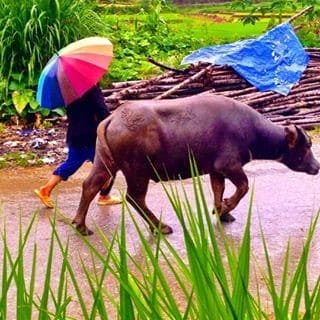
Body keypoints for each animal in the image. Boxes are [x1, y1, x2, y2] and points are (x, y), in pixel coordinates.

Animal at [72, 92, 320, 235]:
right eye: (306, 146)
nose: (316, 167)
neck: (250, 130)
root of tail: (113, 118)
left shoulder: (215, 170)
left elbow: (218, 189)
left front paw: (222, 212)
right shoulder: (229, 166)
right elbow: (243, 186)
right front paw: (225, 207)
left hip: (105, 163)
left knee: (90, 185)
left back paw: (81, 225)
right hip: (137, 171)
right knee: (135, 198)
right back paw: (160, 227)